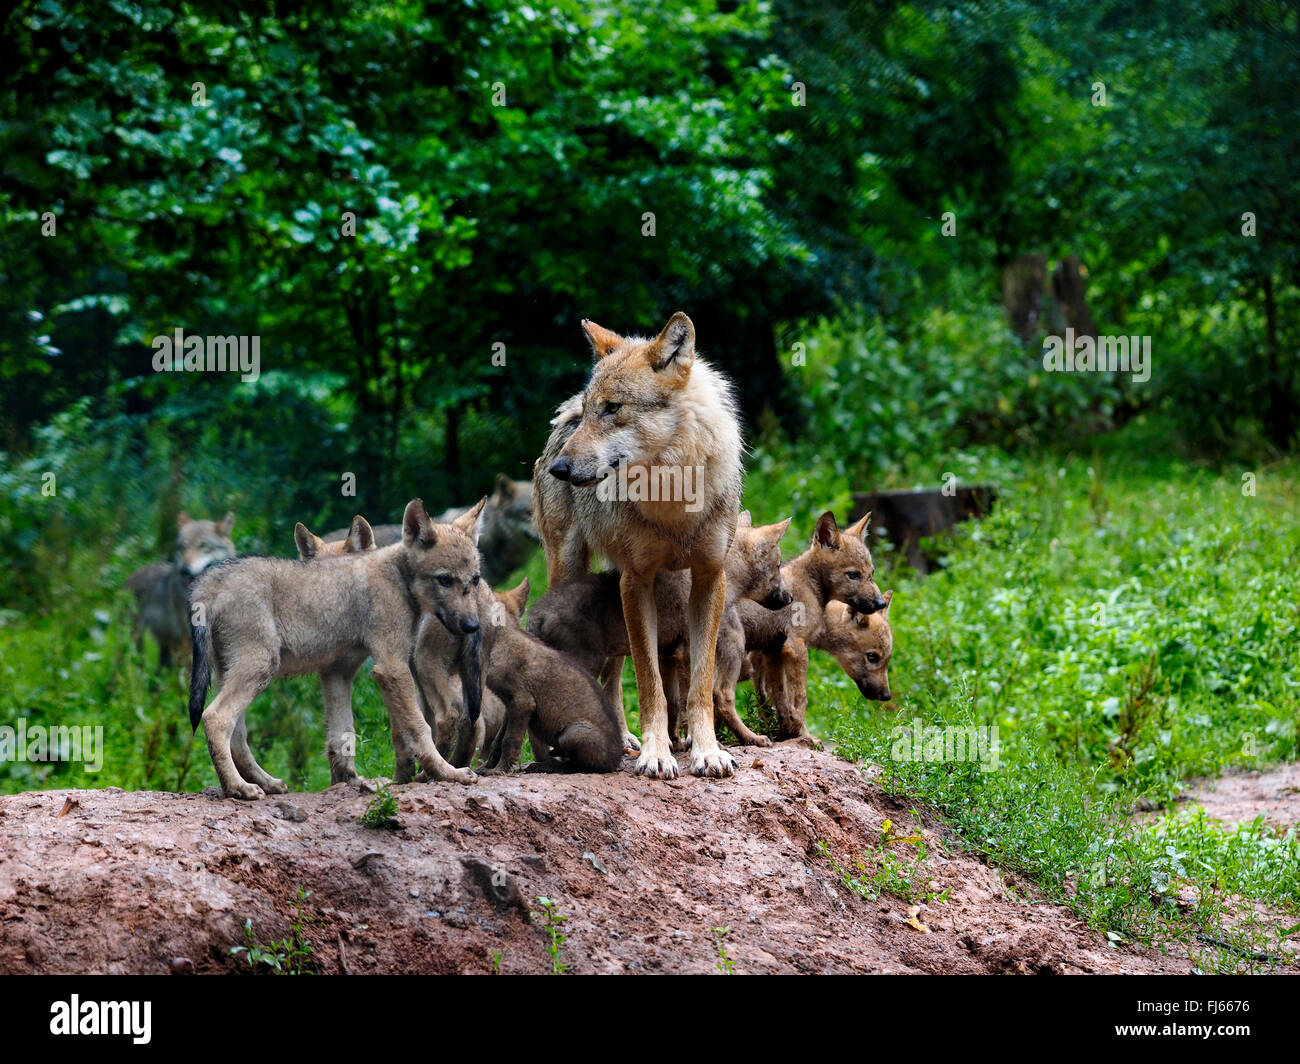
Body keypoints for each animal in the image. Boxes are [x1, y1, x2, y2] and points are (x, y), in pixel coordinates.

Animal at [538, 310, 743, 775]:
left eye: (613, 408)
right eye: (592, 412)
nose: (561, 469)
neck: (674, 497)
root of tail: (562, 414)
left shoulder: (709, 578)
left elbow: (700, 682)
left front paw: (707, 751)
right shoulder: (637, 580)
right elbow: (650, 683)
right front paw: (656, 754)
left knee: (613, 670)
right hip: (573, 570)